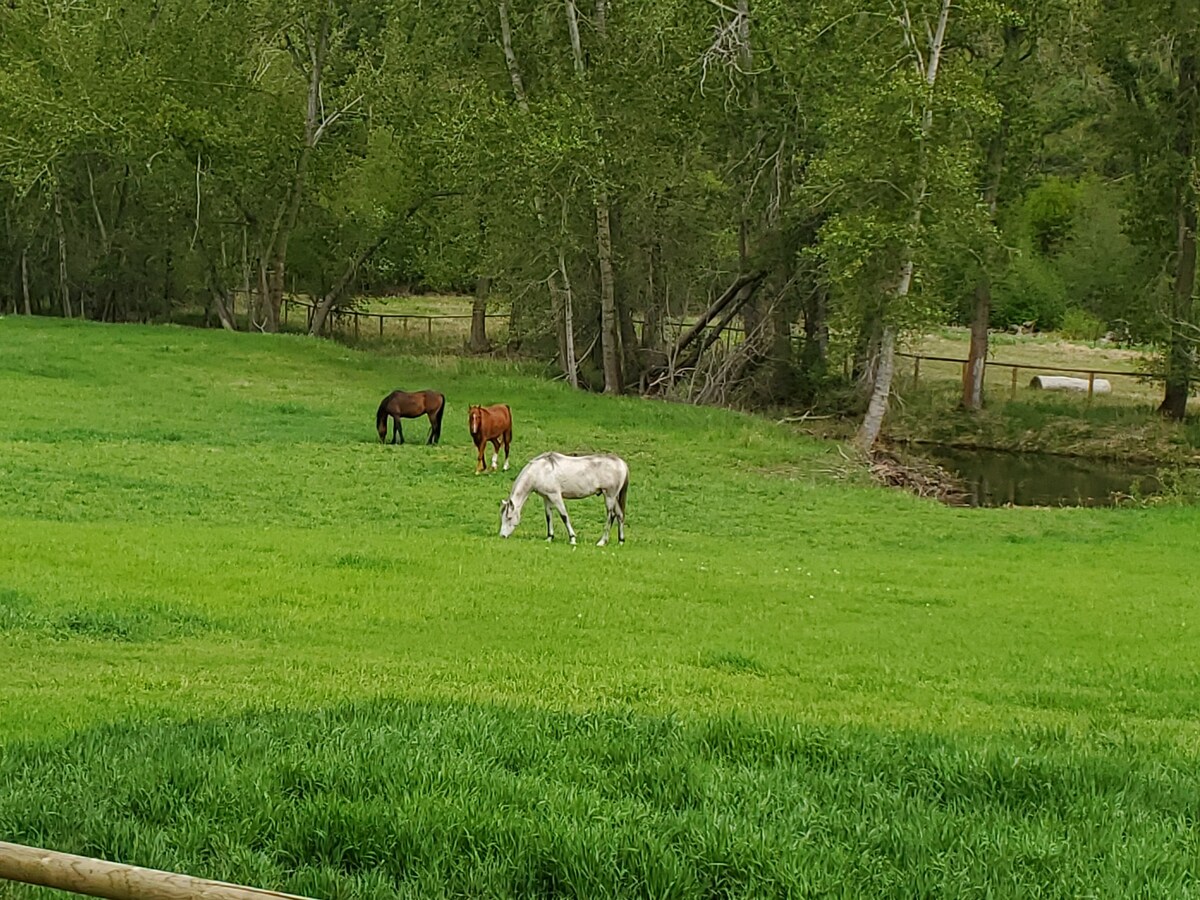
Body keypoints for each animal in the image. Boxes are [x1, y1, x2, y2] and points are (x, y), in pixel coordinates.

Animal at [496, 453, 628, 547]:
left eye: (509, 518)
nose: (502, 536)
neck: (540, 470)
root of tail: (622, 464)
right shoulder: (547, 498)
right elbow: (548, 517)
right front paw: (549, 537)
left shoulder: (555, 496)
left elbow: (564, 516)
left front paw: (572, 539)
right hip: (614, 497)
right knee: (620, 515)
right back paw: (621, 541)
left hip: (609, 496)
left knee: (611, 516)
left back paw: (602, 541)